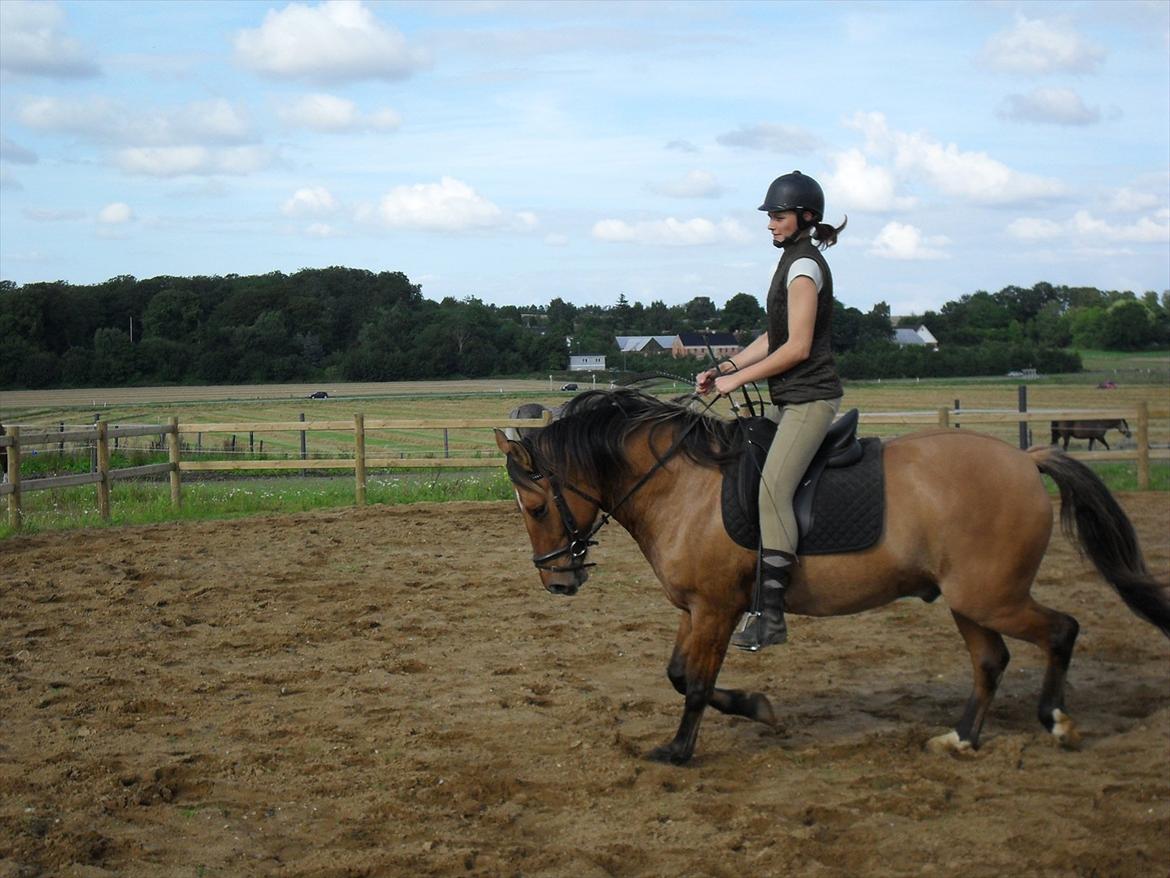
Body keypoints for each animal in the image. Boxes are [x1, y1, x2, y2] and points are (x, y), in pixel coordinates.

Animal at [496, 388, 1170, 767]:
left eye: (535, 507)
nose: (558, 583)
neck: (681, 484)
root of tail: (1025, 458)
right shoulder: (695, 610)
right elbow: (680, 674)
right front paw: (760, 708)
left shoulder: (715, 609)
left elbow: (695, 684)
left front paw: (680, 752)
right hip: (970, 600)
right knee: (991, 660)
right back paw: (960, 739)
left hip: (991, 595)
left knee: (1061, 631)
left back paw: (1056, 721)